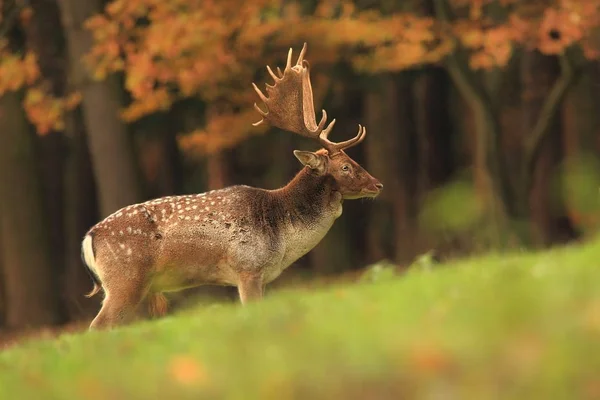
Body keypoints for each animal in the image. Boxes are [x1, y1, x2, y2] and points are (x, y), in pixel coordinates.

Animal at [81, 44, 380, 332]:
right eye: (345, 167)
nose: (377, 184)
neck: (282, 236)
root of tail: (89, 237)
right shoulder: (248, 268)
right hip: (126, 280)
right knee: (97, 326)